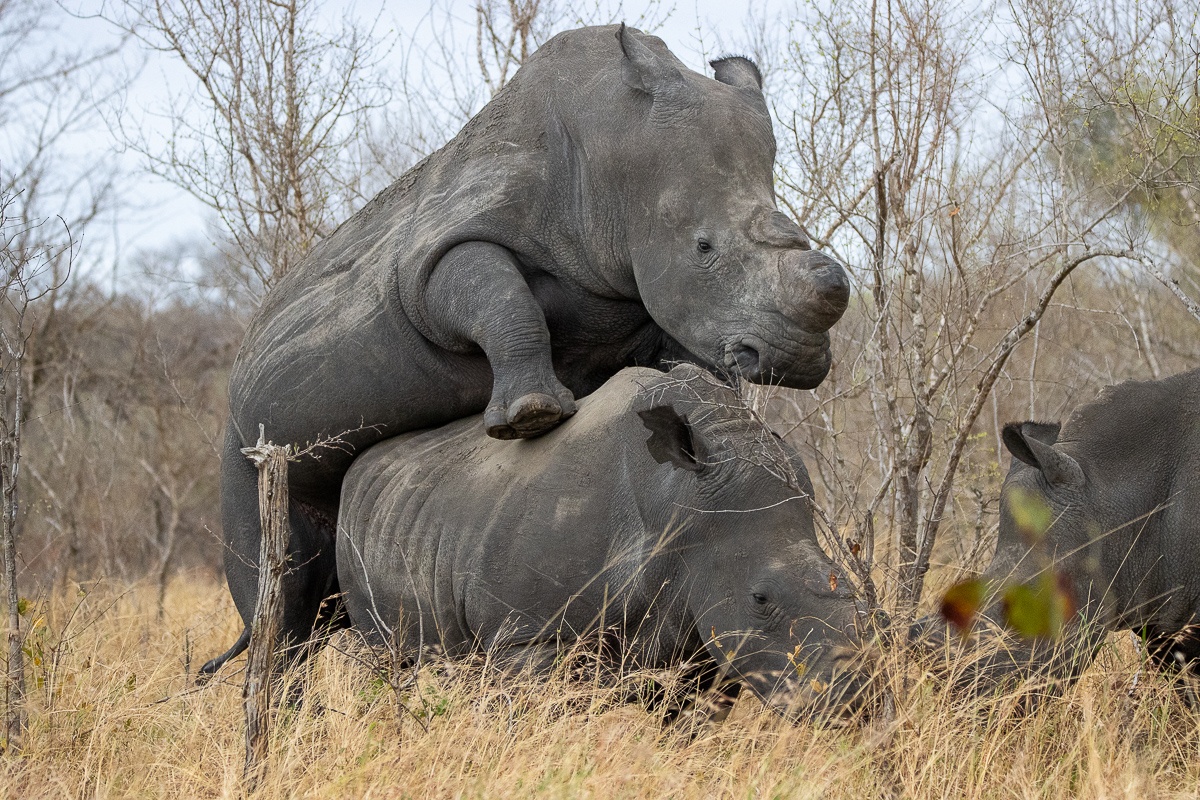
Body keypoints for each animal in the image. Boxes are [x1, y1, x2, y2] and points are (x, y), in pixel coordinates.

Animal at [204, 24, 850, 674]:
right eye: (704, 248)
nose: (796, 358)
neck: (611, 153)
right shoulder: (441, 249)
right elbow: (499, 296)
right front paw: (532, 416)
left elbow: (677, 362)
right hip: (242, 445)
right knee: (280, 597)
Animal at [335, 365, 872, 720]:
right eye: (759, 598)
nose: (853, 701)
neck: (678, 504)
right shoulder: (524, 635)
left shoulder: (703, 646)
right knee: (389, 665)